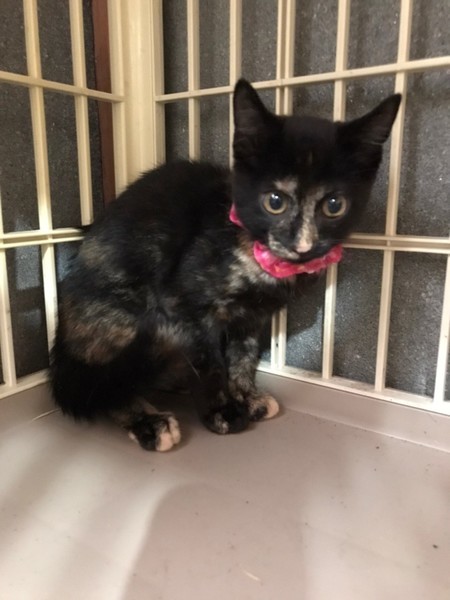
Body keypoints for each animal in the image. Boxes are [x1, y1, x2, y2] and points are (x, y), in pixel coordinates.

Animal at [50, 79, 400, 451]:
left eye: (334, 205)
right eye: (274, 201)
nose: (302, 244)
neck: (251, 252)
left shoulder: (254, 316)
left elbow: (243, 354)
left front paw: (246, 396)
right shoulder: (184, 309)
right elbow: (210, 361)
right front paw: (223, 410)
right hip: (124, 318)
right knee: (99, 389)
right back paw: (150, 421)